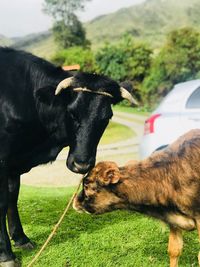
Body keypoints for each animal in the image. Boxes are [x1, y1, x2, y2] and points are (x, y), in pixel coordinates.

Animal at [0, 47, 137, 266]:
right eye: (72, 113)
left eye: (107, 118)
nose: (81, 165)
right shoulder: (3, 158)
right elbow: (3, 202)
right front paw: (6, 254)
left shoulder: (15, 161)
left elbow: (13, 197)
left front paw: (21, 238)